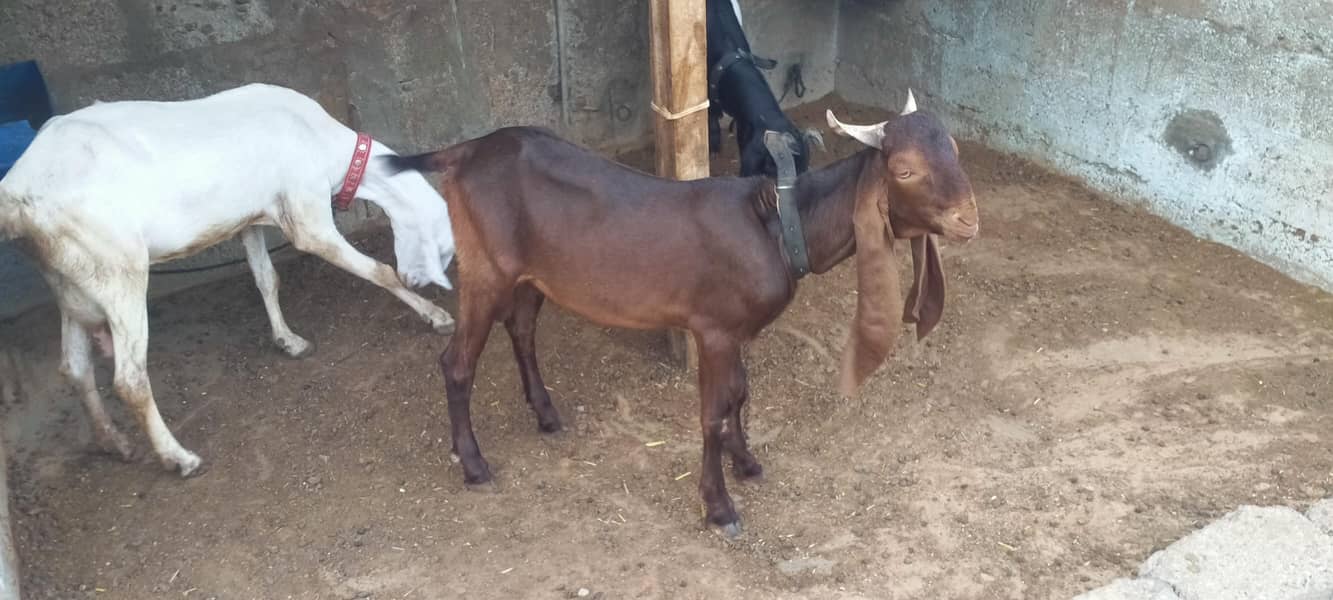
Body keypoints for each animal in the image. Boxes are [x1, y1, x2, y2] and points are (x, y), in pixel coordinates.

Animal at [0, 83, 457, 476]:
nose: (420, 281)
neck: (321, 140)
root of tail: (17, 193)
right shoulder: (307, 216)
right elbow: (378, 270)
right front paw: (436, 316)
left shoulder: (249, 219)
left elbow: (266, 278)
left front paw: (289, 342)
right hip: (117, 267)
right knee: (129, 379)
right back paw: (178, 458)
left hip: (68, 278)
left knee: (74, 367)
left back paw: (114, 442)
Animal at [387, 91, 979, 535]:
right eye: (904, 169)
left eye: (954, 148)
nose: (968, 219)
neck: (777, 223)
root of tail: (462, 152)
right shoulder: (712, 328)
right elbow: (713, 412)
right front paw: (719, 508)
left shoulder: (735, 328)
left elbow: (740, 393)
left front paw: (747, 463)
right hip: (484, 266)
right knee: (457, 362)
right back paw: (474, 464)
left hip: (533, 272)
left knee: (522, 326)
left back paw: (547, 415)